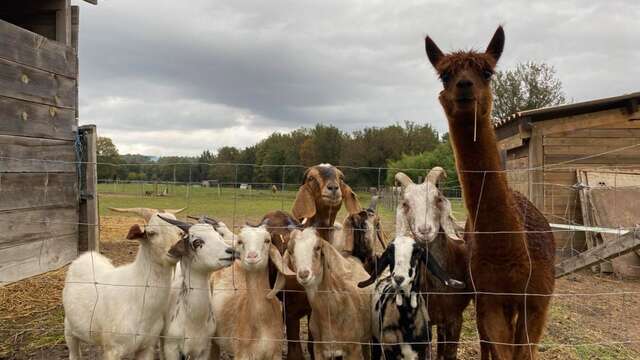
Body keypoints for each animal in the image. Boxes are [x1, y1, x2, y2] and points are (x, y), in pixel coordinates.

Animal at [63, 210, 186, 360]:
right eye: (151, 233)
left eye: (180, 233)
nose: (177, 250)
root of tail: (86, 256)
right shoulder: (112, 349)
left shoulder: (147, 347)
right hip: (69, 329)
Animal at [159, 217, 238, 360]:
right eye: (197, 242)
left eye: (219, 236)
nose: (231, 251)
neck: (193, 323)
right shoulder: (172, 348)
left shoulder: (204, 349)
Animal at [424, 26, 556, 358]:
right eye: (445, 75)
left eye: (487, 71)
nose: (464, 84)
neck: (509, 255)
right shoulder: (491, 298)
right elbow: (501, 348)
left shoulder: (537, 301)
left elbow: (524, 353)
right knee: (486, 342)